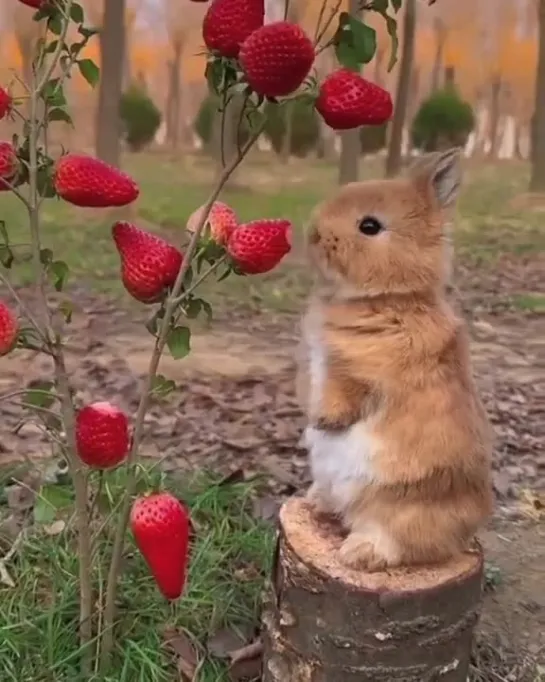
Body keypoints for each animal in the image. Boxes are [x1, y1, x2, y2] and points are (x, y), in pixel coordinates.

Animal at [298, 147, 492, 568]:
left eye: (369, 226)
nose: (313, 233)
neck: (389, 298)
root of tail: (464, 535)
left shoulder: (358, 374)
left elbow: (342, 398)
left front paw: (322, 421)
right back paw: (315, 502)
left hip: (398, 506)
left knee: (398, 541)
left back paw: (356, 553)